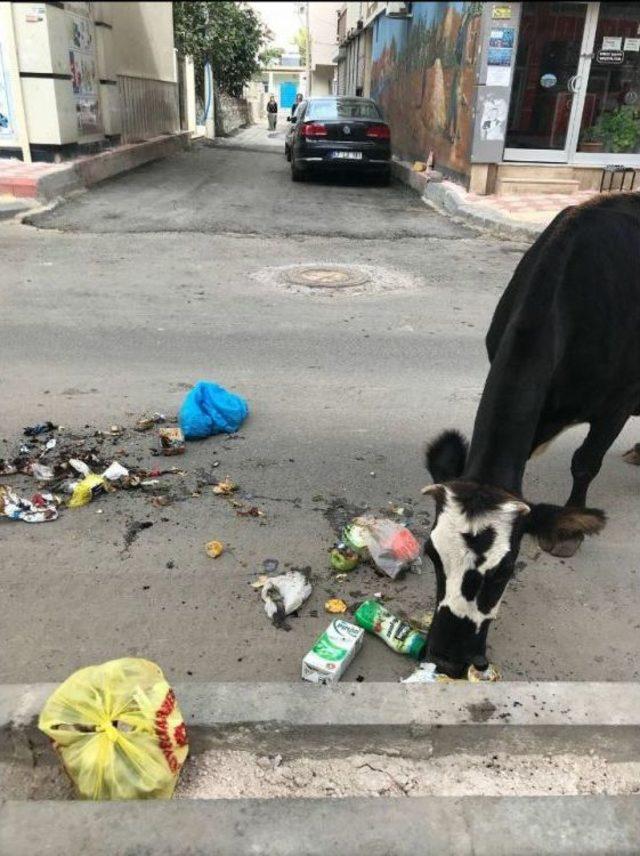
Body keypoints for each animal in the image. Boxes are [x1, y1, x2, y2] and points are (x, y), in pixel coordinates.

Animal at [420, 192, 640, 676]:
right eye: (431, 555)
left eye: (504, 571)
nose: (447, 658)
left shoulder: (616, 402)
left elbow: (586, 461)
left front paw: (570, 529)